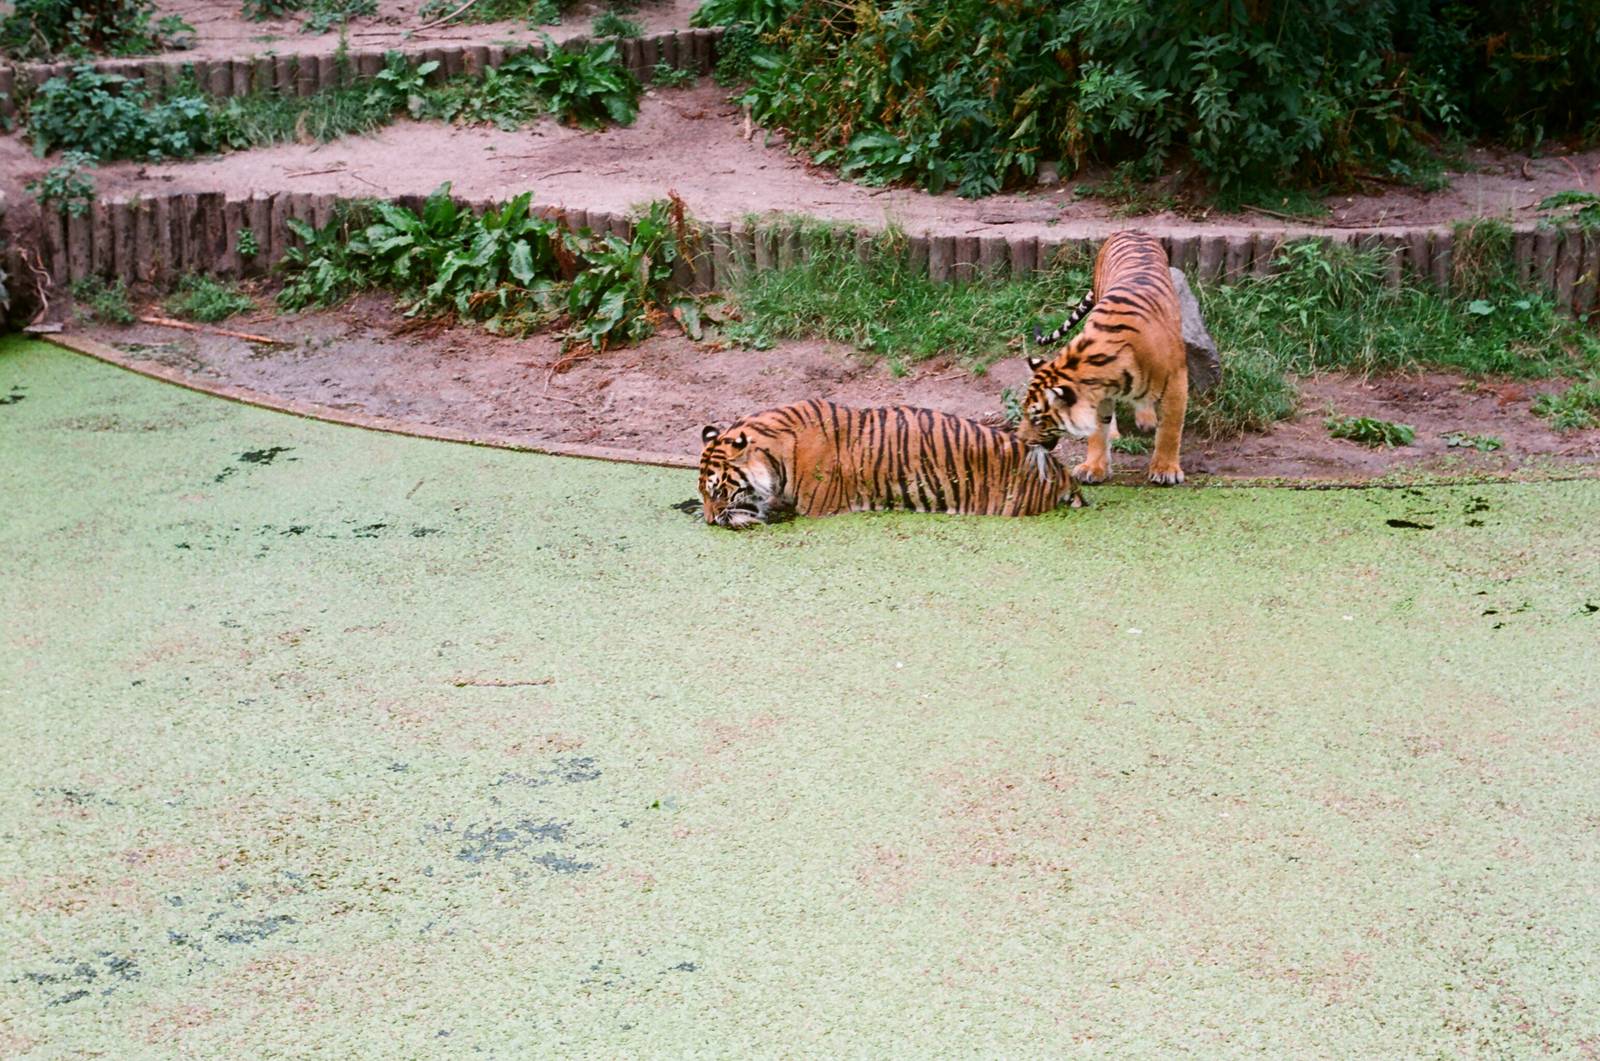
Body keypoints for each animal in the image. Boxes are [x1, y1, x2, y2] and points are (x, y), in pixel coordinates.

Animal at [1015, 231, 1188, 485]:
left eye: (1037, 419)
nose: (1020, 442)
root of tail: (1131, 229)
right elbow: (1098, 430)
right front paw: (1093, 468)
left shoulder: (1176, 380)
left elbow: (1170, 427)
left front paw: (1166, 470)